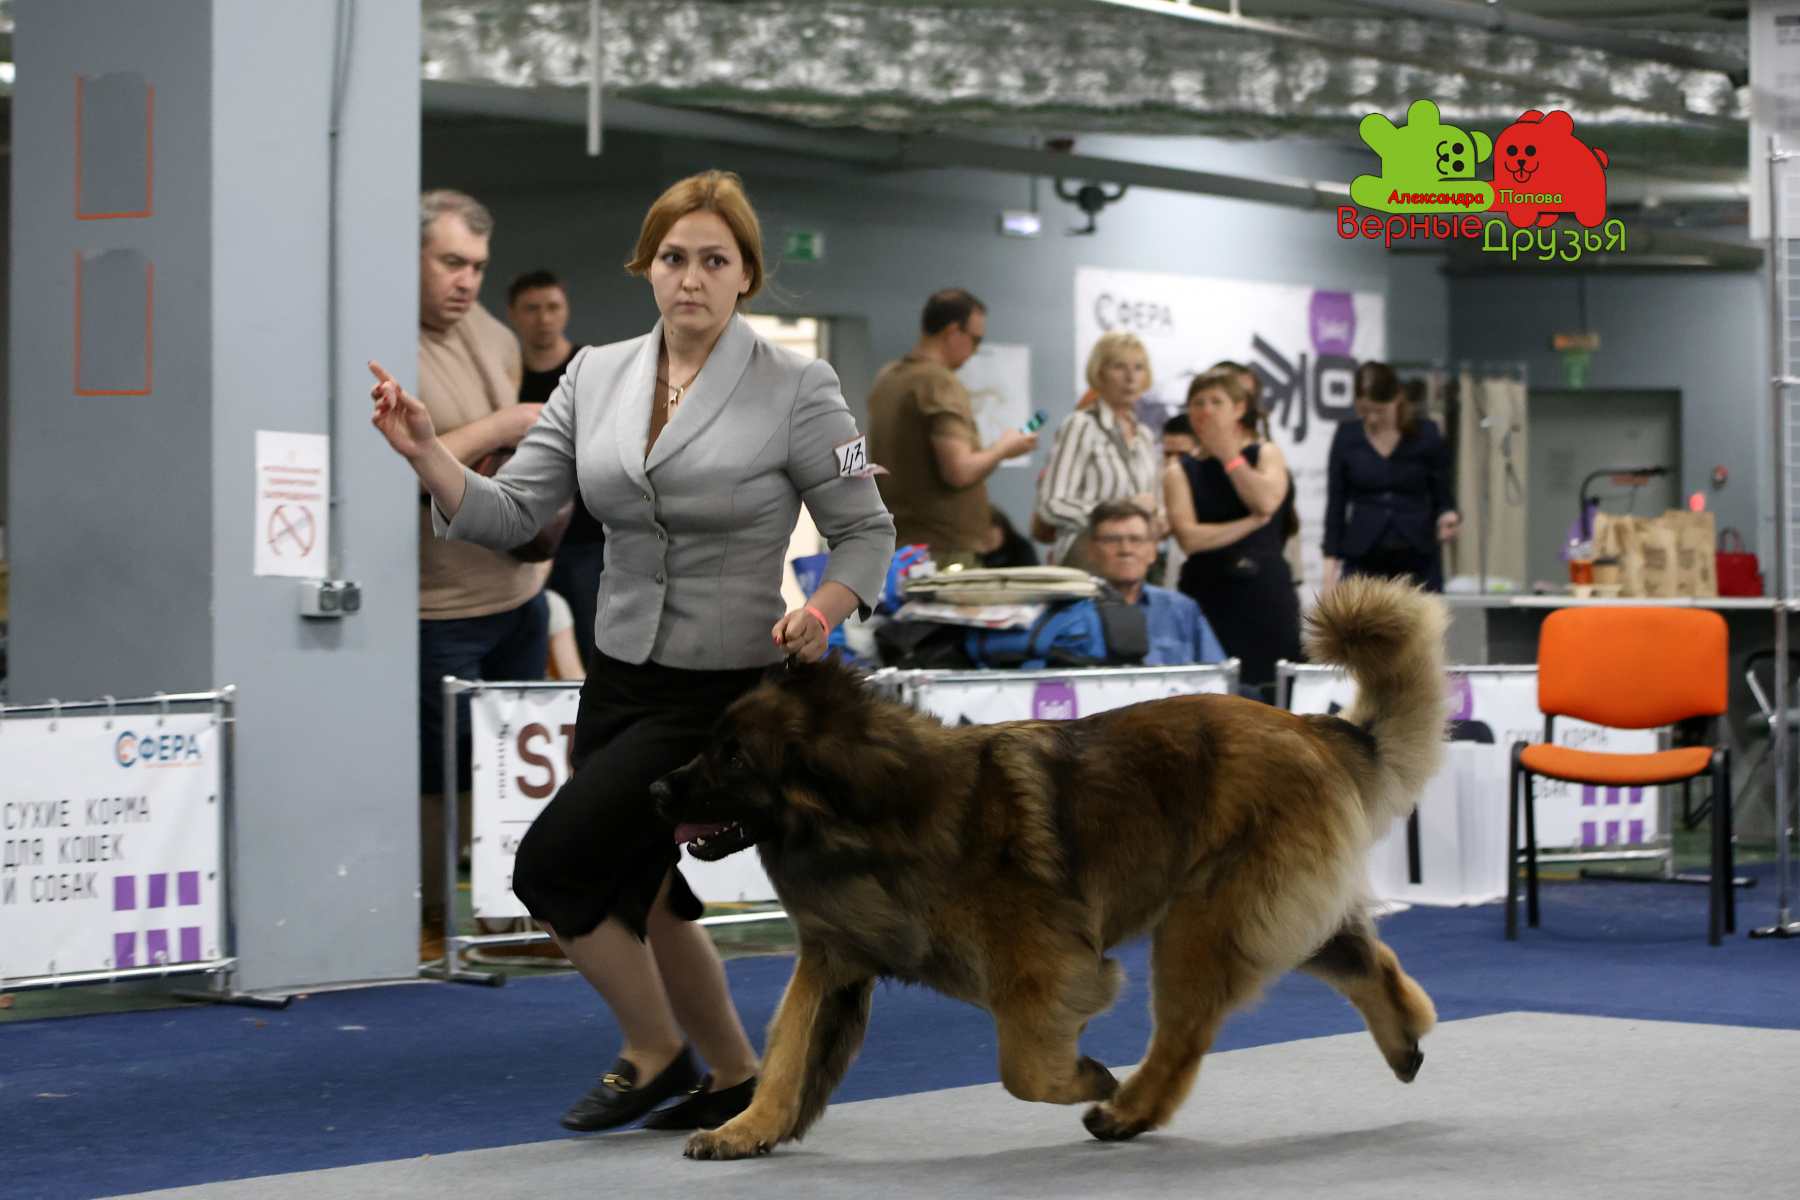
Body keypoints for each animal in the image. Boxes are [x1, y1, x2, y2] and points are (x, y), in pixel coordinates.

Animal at [653, 575, 1446, 1160]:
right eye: (710, 744)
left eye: (735, 758)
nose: (658, 789)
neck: (876, 813)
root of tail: (1314, 727)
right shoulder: (833, 956)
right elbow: (789, 1050)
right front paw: (747, 1129)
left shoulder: (1043, 968)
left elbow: (1023, 1068)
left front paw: (1085, 1078)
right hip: (1261, 914)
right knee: (1365, 961)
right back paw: (1405, 1038)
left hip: (1204, 922)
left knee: (1184, 1035)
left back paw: (1125, 1110)